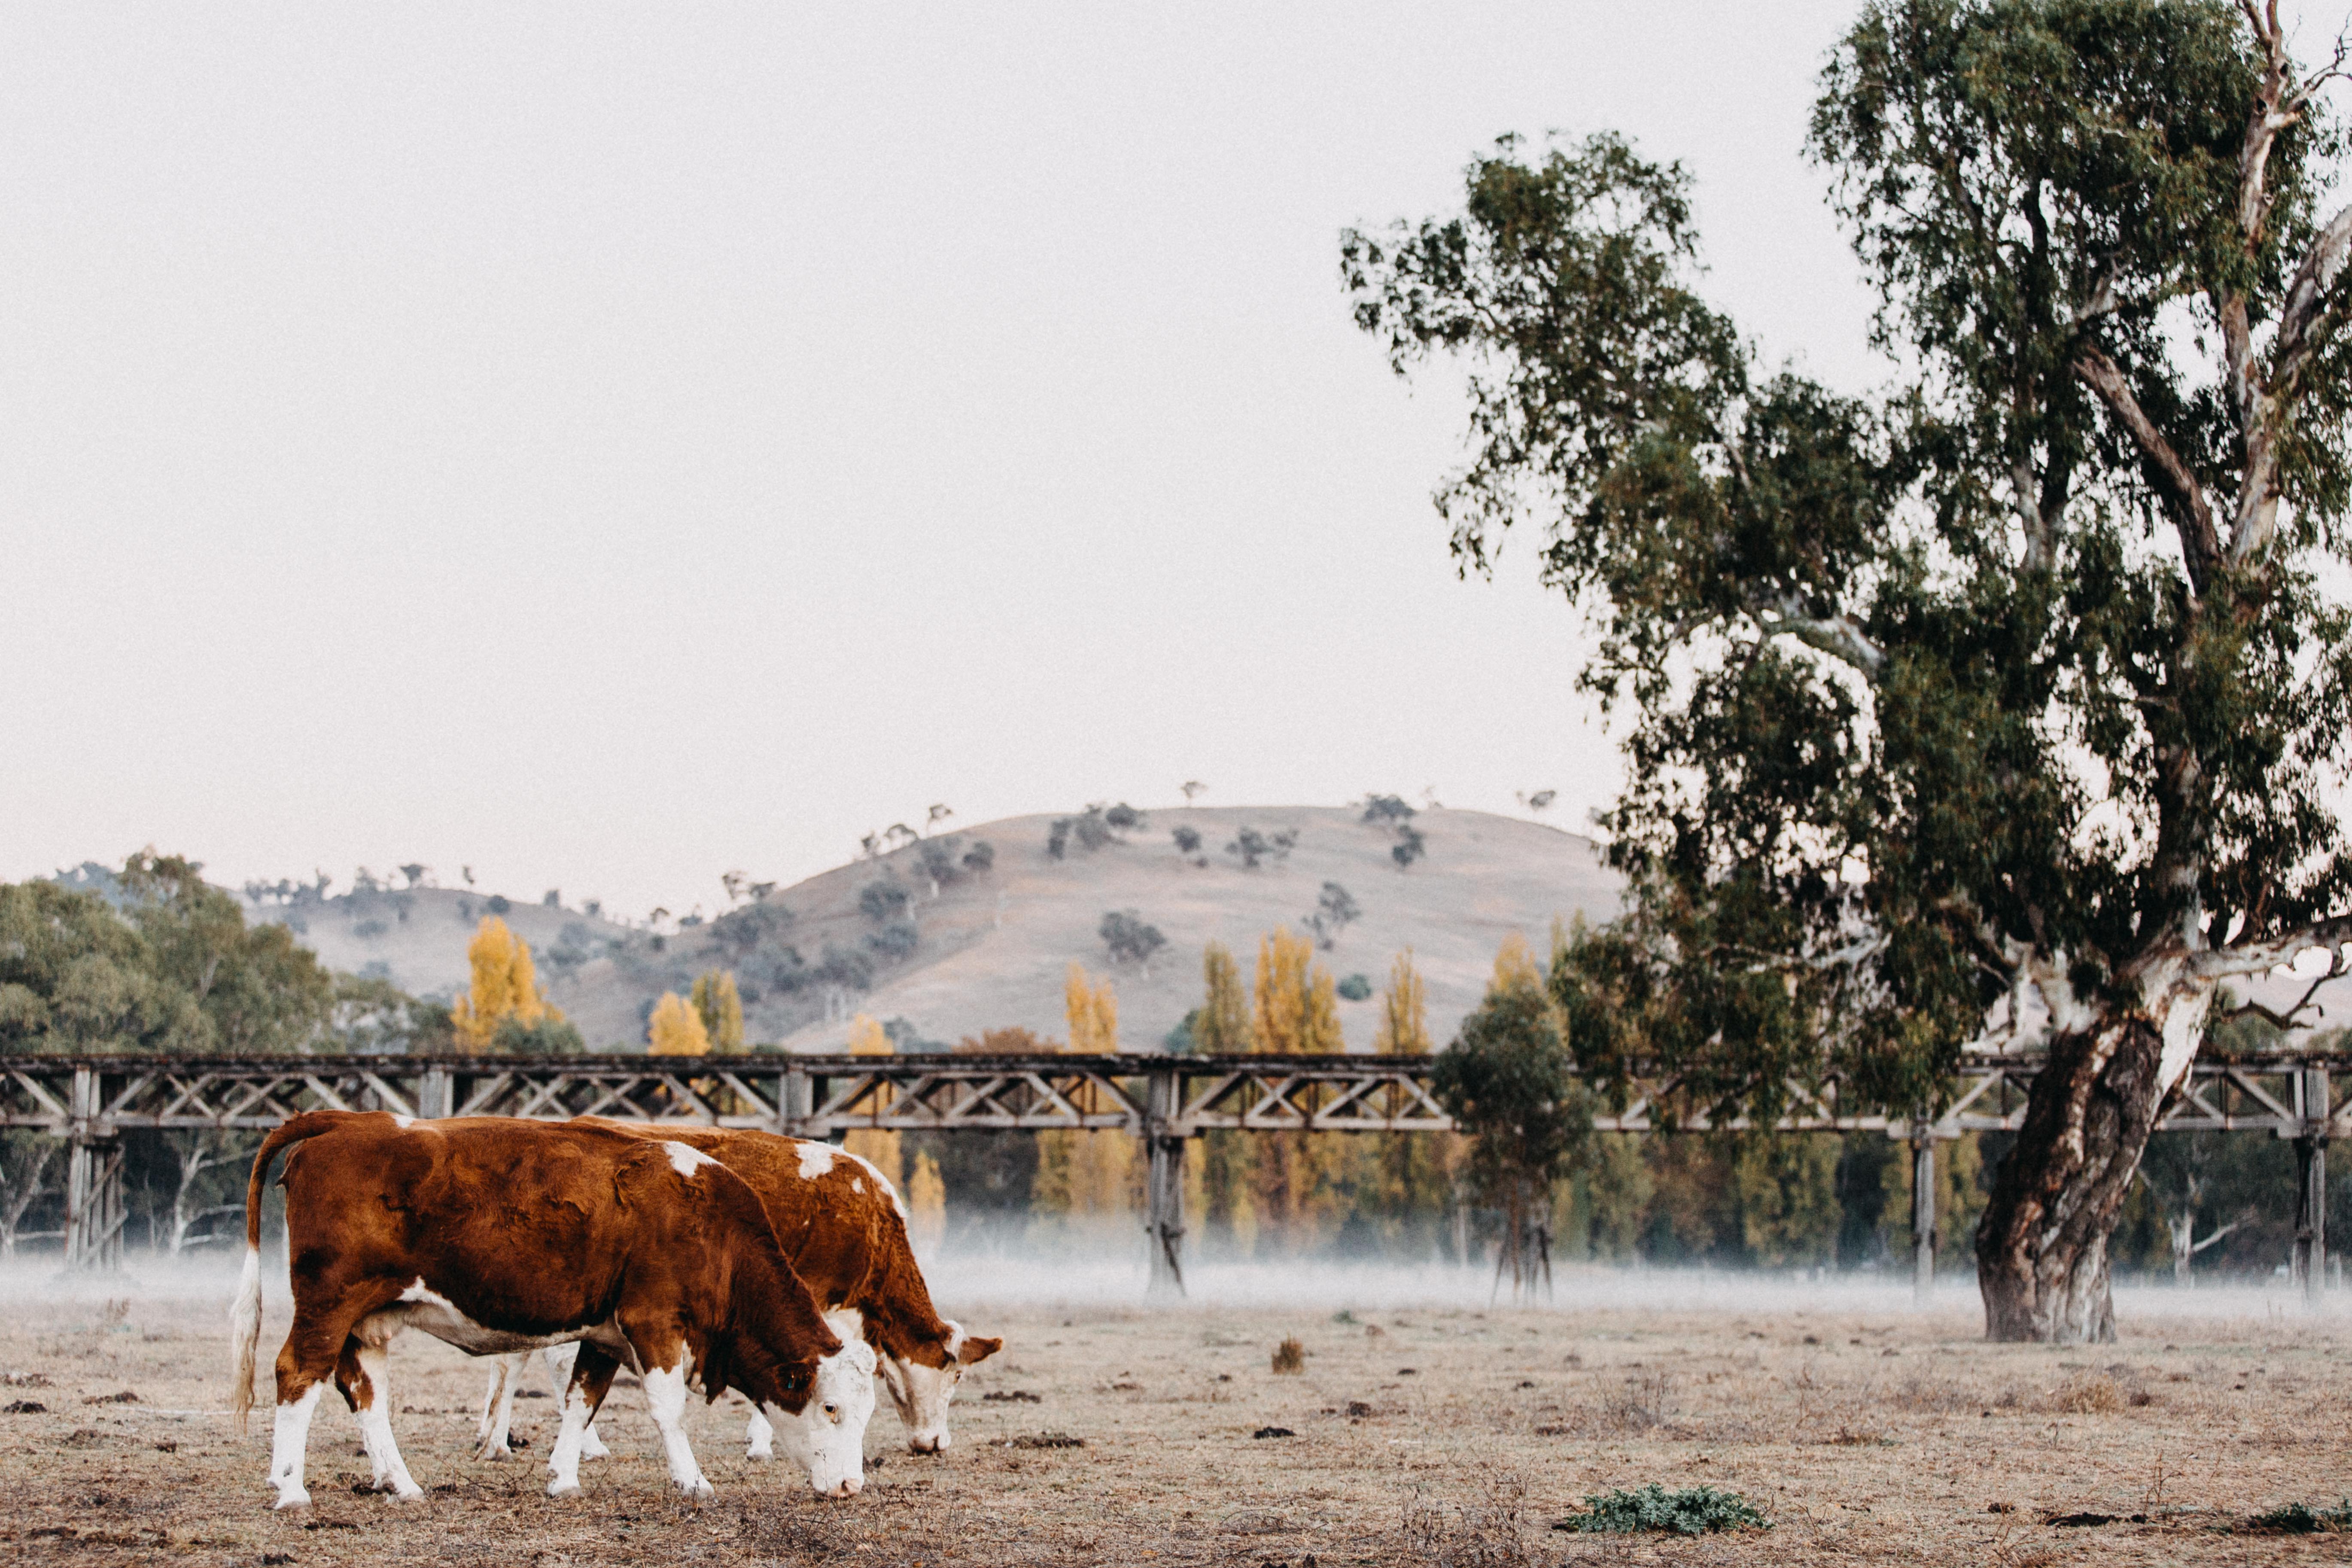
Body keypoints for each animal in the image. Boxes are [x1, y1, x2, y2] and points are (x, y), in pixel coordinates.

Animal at [229, 1110, 878, 1510]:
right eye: (831, 1407)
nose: (851, 1484)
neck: (714, 1228)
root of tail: (348, 1121)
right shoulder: (653, 1322)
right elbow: (667, 1410)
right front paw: (692, 1479)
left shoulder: (606, 1332)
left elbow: (581, 1401)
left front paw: (563, 1477)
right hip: (328, 1306)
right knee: (297, 1374)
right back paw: (291, 1489)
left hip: (365, 1320)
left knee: (365, 1391)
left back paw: (401, 1482)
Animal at [477, 1123, 1001, 1462]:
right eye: (956, 1375)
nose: (937, 1444)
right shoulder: (819, 1297)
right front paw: (762, 1442)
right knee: (547, 1358)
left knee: (514, 1357)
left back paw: (494, 1438)